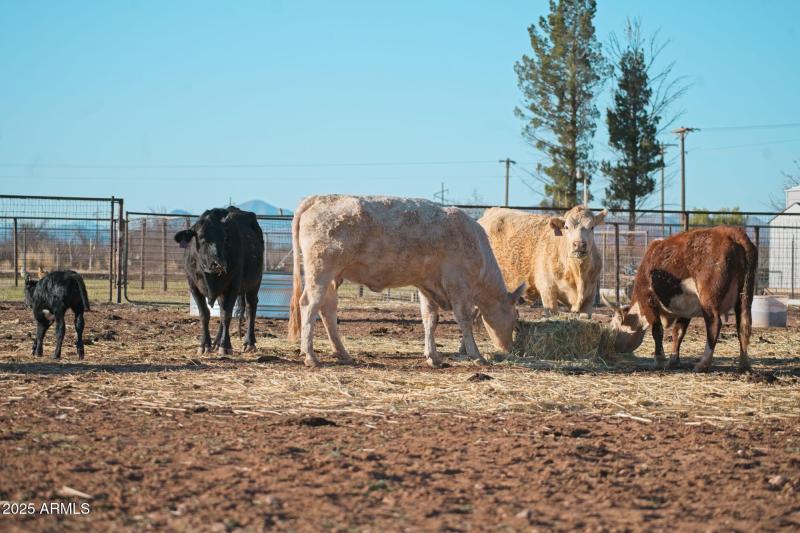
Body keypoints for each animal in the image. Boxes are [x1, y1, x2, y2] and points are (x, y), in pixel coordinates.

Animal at [174, 206, 264, 355]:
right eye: (202, 237)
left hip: (255, 282)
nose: (218, 263)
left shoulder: (233, 285)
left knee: (250, 307)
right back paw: (216, 342)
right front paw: (205, 344)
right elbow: (204, 314)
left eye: (224, 238)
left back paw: (248, 343)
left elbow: (226, 315)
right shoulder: (193, 286)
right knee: (222, 309)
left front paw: (225, 346)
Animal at [287, 195, 525, 368]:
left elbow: (430, 319)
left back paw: (343, 354)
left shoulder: (426, 284)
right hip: (320, 270)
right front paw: (477, 356)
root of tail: (320, 197)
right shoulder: (458, 283)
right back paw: (311, 357)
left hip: (332, 276)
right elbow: (464, 319)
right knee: (309, 305)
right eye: (515, 318)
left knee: (327, 309)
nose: (509, 349)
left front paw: (433, 357)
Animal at [478, 206, 607, 317]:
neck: (577, 274)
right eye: (566, 227)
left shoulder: (590, 296)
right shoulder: (547, 290)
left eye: (592, 227)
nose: (579, 244)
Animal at [604, 226, 757, 372]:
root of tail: (734, 233)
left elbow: (657, 331)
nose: (613, 346)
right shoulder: (686, 309)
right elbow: (678, 332)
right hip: (744, 297)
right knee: (743, 325)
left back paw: (703, 364)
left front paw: (659, 360)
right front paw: (673, 360)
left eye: (614, 328)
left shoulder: (649, 300)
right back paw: (744, 364)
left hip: (708, 299)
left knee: (714, 324)